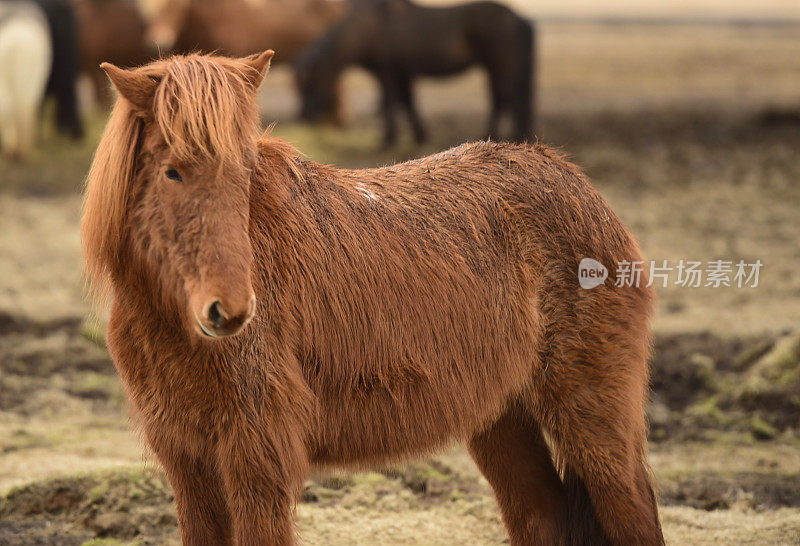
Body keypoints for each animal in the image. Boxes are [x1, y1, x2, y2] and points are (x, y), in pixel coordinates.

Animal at [81, 52, 664, 544]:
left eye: (245, 173)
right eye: (172, 171)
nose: (231, 310)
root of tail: (577, 182)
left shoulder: (255, 460)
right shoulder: (189, 464)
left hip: (593, 423)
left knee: (633, 510)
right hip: (501, 420)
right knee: (541, 512)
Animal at [296, 0, 536, 147]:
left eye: (310, 84)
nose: (304, 116)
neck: (368, 28)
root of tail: (520, 19)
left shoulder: (388, 73)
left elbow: (392, 104)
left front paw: (388, 139)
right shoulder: (403, 74)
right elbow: (408, 103)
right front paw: (419, 137)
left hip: (500, 70)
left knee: (506, 101)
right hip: (496, 70)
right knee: (503, 101)